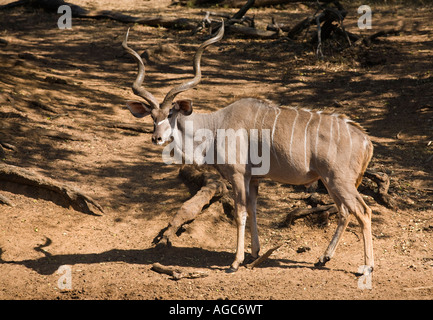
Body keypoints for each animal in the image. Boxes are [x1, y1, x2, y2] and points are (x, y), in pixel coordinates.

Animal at [120, 21, 372, 272]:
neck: (216, 125)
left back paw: (367, 267)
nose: (157, 138)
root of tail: (365, 140)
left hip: (339, 181)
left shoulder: (238, 175)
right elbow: (252, 209)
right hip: (331, 182)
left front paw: (236, 261)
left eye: (171, 114)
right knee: (345, 212)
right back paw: (322, 258)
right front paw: (255, 252)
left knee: (363, 211)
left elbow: (240, 212)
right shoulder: (254, 179)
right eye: (152, 117)